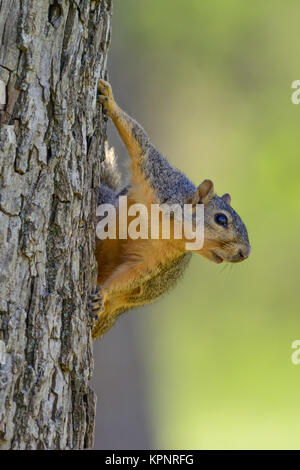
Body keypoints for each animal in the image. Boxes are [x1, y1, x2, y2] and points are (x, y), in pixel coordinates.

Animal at [89, 81, 251, 338]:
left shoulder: (156, 260)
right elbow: (138, 138)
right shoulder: (157, 175)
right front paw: (110, 99)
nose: (245, 253)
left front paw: (102, 293)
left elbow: (132, 275)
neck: (169, 228)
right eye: (221, 219)